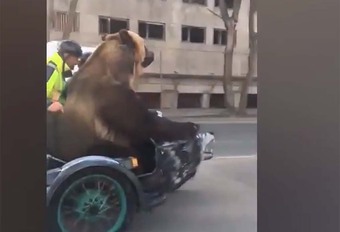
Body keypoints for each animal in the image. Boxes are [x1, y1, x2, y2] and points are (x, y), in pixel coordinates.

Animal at [46, 29, 198, 169]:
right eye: (145, 45)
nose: (153, 53)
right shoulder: (111, 96)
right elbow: (141, 122)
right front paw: (190, 126)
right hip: (89, 146)